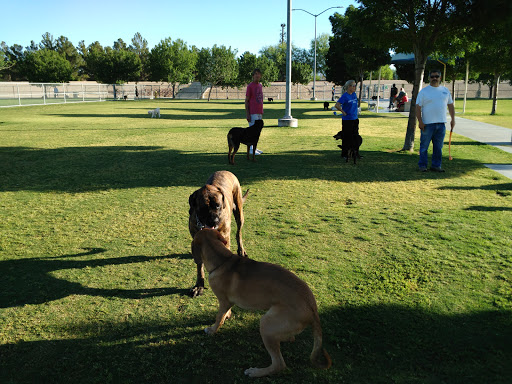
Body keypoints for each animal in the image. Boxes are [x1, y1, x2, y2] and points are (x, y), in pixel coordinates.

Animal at [192, 230, 332, 376]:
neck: (223, 261)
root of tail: (313, 311)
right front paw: (226, 318)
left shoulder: (224, 302)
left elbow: (218, 317)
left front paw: (212, 330)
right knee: (289, 338)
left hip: (266, 323)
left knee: (279, 364)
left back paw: (255, 372)